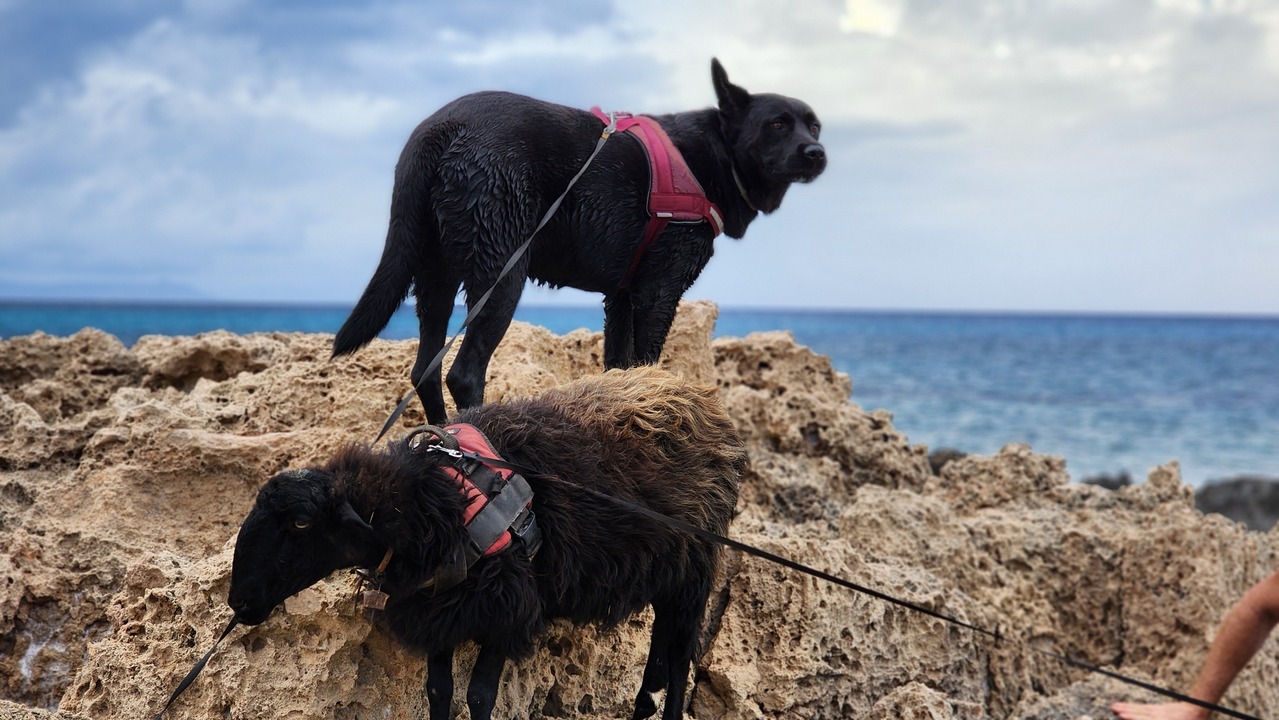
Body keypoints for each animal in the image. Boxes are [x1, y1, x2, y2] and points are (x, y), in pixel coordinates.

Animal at [227, 366, 746, 720]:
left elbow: (479, 696)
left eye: (299, 523)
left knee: (677, 662)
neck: (433, 498)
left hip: (694, 574)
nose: (239, 602)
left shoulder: (507, 606)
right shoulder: (440, 607)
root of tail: (701, 400)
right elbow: (439, 691)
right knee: (658, 659)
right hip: (667, 577)